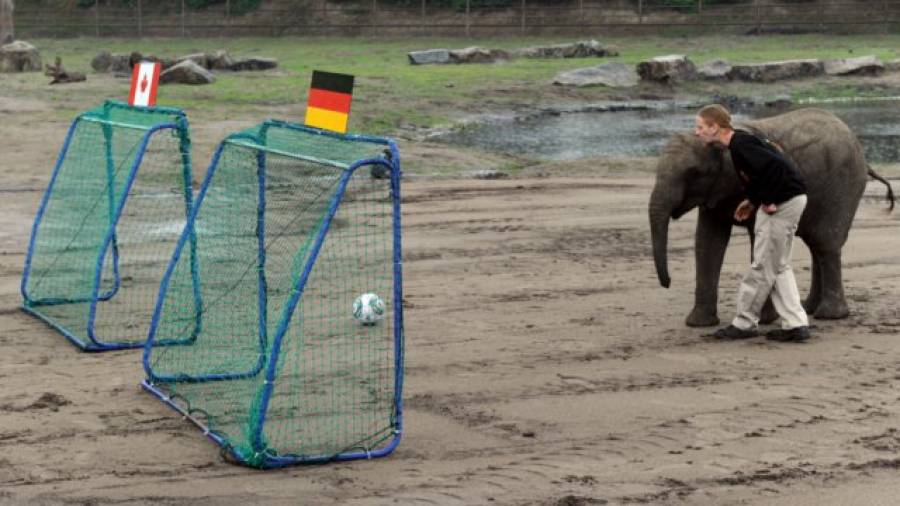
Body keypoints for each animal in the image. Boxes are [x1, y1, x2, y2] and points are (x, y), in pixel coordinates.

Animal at [652, 107, 896, 328]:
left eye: (692, 173)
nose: (667, 283)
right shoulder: (714, 191)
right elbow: (707, 242)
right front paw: (698, 324)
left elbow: (757, 241)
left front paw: (764, 320)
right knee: (816, 245)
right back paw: (808, 308)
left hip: (842, 186)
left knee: (826, 243)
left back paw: (830, 316)